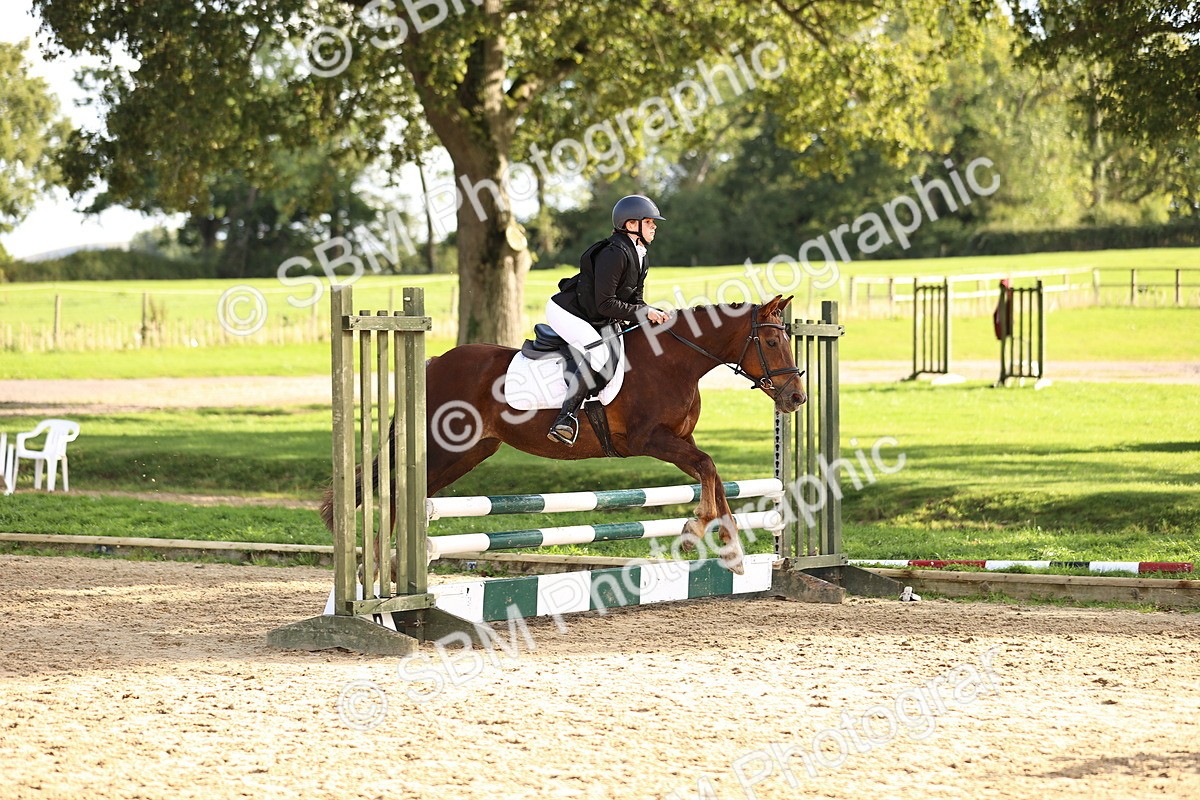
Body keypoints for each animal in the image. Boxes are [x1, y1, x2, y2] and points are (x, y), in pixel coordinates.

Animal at [321, 295, 805, 574]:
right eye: (772, 342)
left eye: (787, 339)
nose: (796, 398)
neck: (676, 360)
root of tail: (433, 362)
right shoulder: (650, 440)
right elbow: (707, 467)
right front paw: (701, 531)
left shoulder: (679, 441)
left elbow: (714, 475)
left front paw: (729, 548)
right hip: (442, 449)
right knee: (395, 490)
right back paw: (377, 572)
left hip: (469, 452)